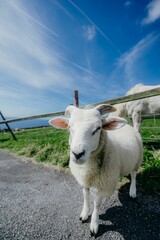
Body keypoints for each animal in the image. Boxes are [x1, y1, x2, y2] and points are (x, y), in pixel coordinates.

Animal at [49, 105, 143, 236]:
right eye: (69, 127)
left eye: (98, 128)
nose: (77, 154)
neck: (88, 168)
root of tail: (128, 126)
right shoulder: (84, 180)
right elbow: (85, 196)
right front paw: (84, 214)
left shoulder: (104, 184)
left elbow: (97, 204)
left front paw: (94, 224)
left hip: (138, 160)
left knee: (134, 175)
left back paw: (133, 191)